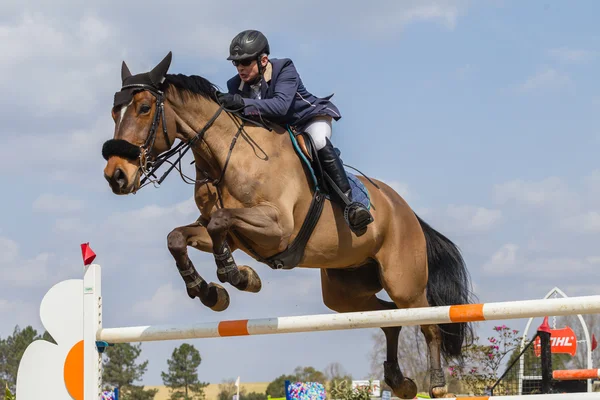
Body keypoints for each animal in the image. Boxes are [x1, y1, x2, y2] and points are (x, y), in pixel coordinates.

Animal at [101, 51, 474, 398]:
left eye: (145, 107)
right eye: (114, 112)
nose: (115, 176)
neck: (228, 157)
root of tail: (407, 212)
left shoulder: (276, 228)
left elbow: (221, 222)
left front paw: (238, 276)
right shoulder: (229, 234)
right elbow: (178, 238)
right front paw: (209, 291)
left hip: (404, 281)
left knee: (427, 323)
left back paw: (437, 385)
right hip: (345, 293)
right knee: (389, 318)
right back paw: (401, 382)